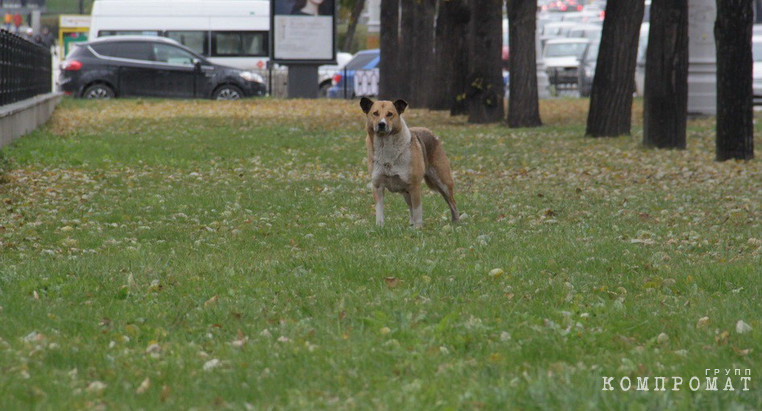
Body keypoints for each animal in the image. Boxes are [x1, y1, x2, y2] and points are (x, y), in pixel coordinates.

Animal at [360, 98, 460, 230]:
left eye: (390, 114)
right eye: (375, 113)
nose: (381, 124)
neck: (385, 149)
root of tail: (430, 132)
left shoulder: (414, 187)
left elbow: (418, 210)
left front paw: (418, 229)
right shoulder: (377, 186)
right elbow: (379, 211)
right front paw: (379, 227)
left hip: (443, 182)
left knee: (452, 203)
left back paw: (456, 223)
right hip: (406, 192)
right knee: (411, 207)